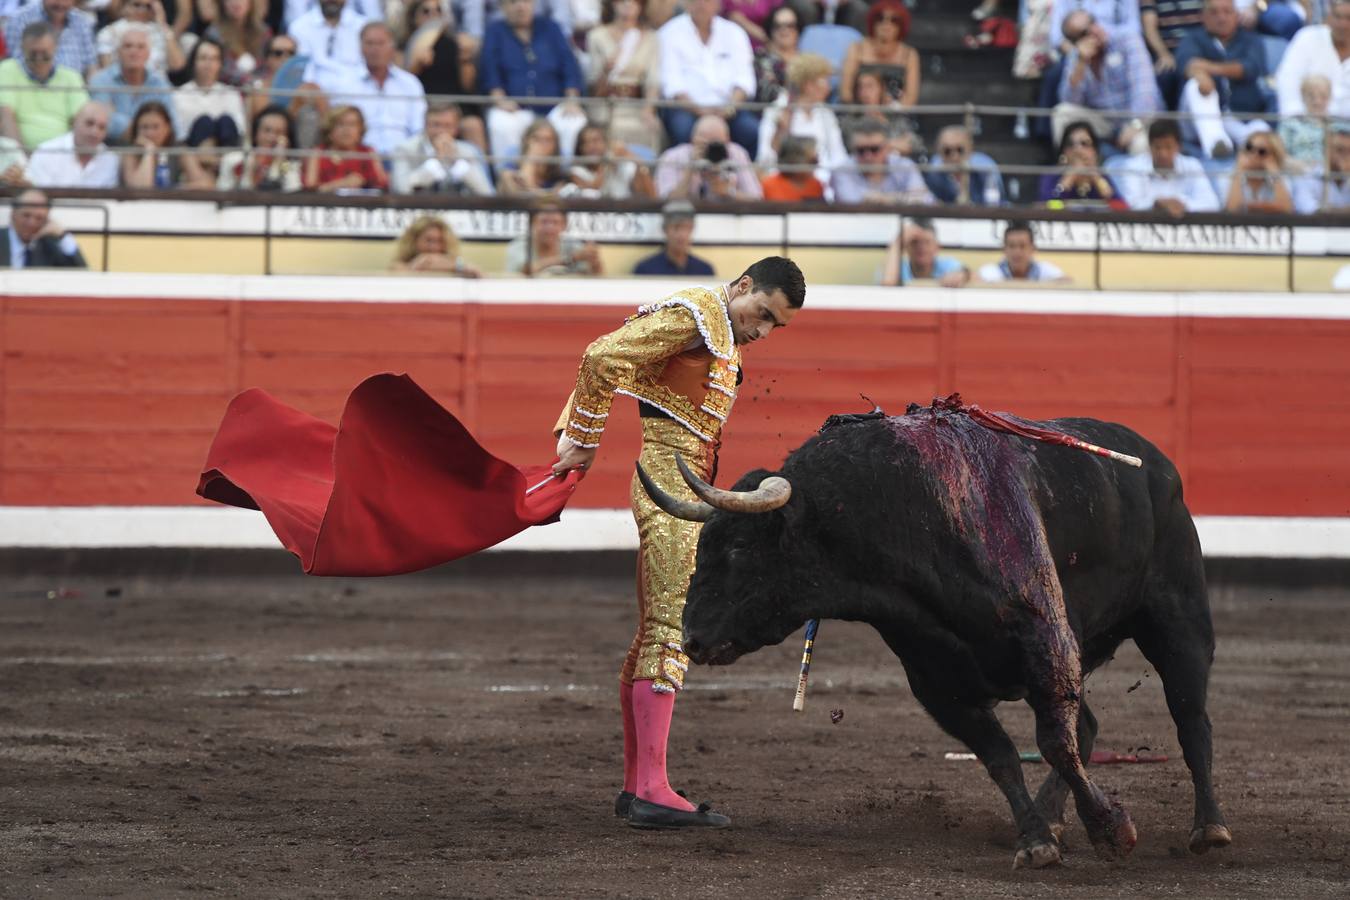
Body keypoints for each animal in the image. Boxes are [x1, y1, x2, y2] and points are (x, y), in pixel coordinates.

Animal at [642, 407, 1236, 863]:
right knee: (1089, 725)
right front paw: (1037, 839)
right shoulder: (938, 682)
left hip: (1178, 623)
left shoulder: (1046, 641)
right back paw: (1055, 818)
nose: (692, 639)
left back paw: (1209, 829)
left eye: (740, 548)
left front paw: (1112, 832)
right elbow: (1001, 756)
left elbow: (1054, 743)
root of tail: (1156, 462)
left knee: (1191, 720)